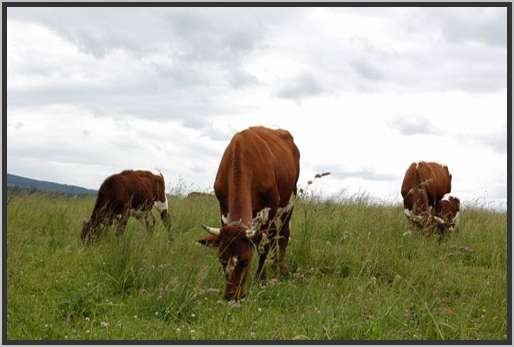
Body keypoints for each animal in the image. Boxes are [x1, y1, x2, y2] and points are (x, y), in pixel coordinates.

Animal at [197, 125, 300, 302]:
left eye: (245, 261)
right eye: (221, 259)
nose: (231, 296)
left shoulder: (270, 211)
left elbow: (264, 246)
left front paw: (261, 280)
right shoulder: (223, 210)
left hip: (289, 203)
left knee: (282, 235)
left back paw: (281, 268)